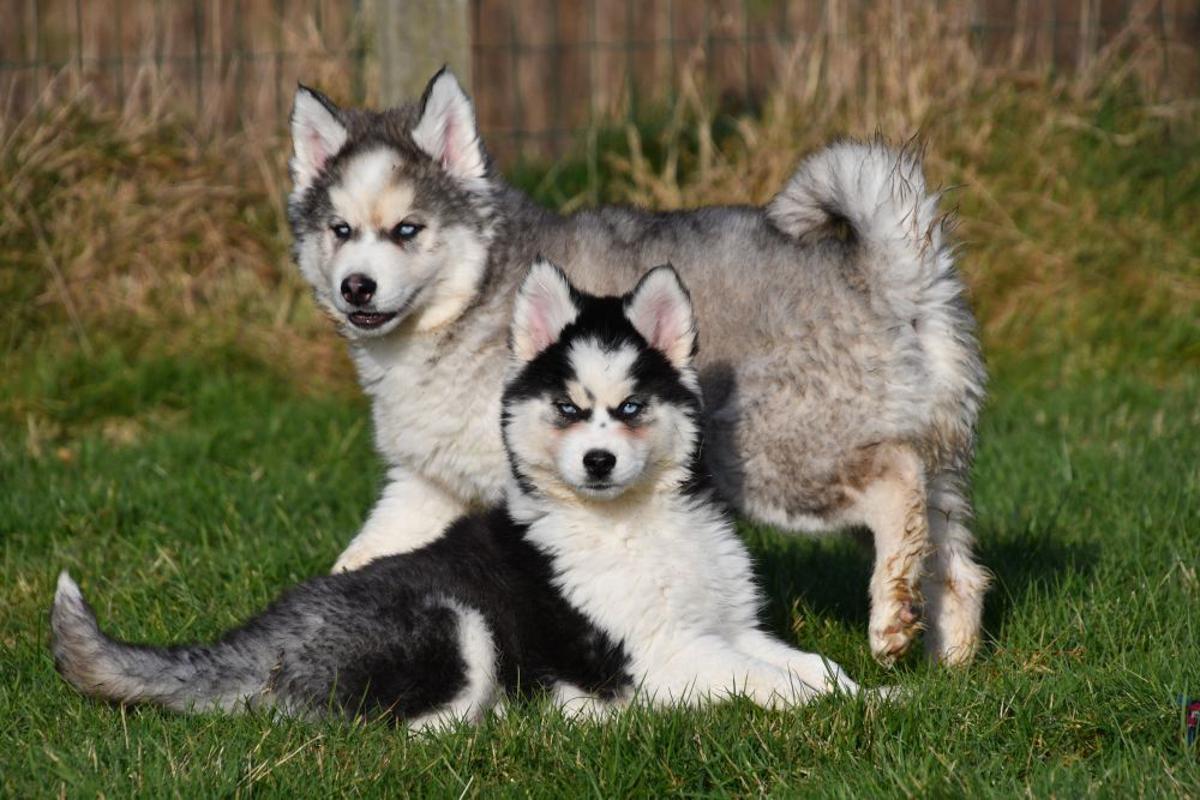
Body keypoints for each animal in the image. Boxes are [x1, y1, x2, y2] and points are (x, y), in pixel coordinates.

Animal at [51, 262, 864, 724]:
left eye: (631, 407)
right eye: (567, 408)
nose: (599, 461)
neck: (633, 522)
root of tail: (270, 631)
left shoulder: (731, 627)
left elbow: (811, 667)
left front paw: (870, 696)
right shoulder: (663, 651)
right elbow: (772, 684)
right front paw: (852, 711)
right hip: (453, 622)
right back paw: (550, 718)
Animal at [285, 70, 988, 671]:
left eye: (407, 229)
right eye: (339, 230)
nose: (356, 287)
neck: (471, 298)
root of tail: (887, 275)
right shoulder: (426, 485)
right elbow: (359, 557)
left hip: (778, 455)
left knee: (895, 478)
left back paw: (889, 619)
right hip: (927, 463)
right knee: (955, 564)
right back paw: (948, 663)